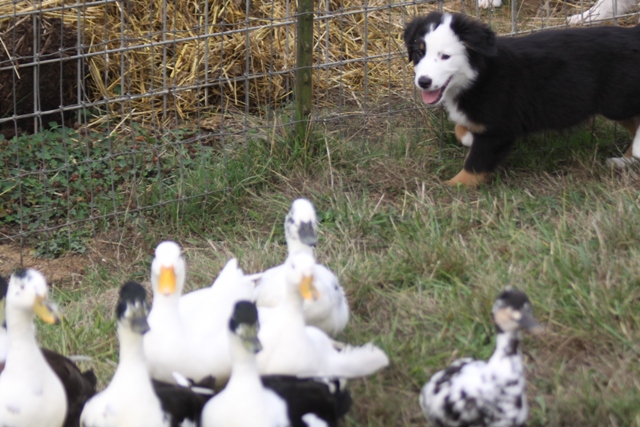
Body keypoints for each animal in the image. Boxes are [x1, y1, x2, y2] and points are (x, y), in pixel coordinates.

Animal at [404, 12, 640, 186]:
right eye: (419, 53)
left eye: (445, 56)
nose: (423, 82)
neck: (477, 76)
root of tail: (633, 34)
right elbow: (460, 129)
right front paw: (469, 138)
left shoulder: (498, 129)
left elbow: (474, 165)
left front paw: (448, 189)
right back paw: (624, 161)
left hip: (616, 101)